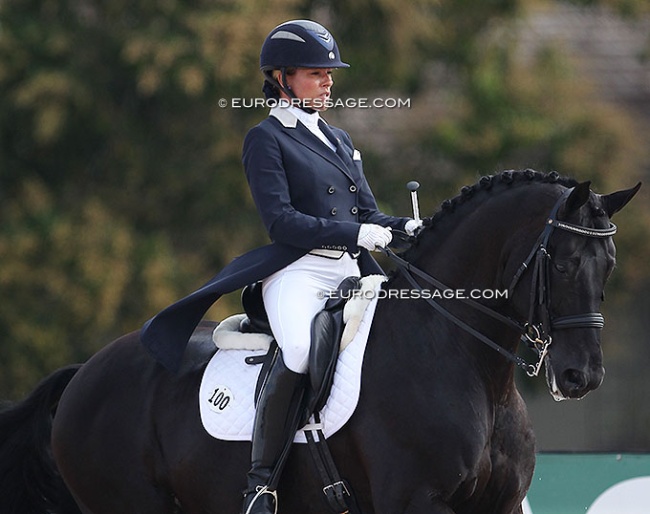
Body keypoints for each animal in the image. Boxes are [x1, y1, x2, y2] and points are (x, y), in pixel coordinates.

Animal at [0, 169, 636, 512]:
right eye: (563, 262)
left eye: (608, 263)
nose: (581, 377)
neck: (468, 365)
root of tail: (86, 371)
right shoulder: (417, 502)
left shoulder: (498, 507)